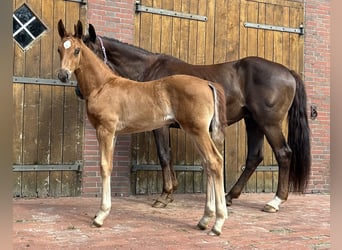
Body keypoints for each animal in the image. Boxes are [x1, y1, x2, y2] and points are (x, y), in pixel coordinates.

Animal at [57, 20, 228, 236]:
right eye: (59, 49)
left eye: (78, 50)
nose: (63, 75)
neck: (103, 85)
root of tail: (207, 83)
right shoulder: (112, 133)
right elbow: (108, 165)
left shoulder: (105, 130)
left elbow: (105, 166)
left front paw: (100, 215)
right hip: (195, 132)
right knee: (207, 164)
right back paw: (205, 219)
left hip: (198, 131)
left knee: (215, 161)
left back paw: (218, 223)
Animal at [82, 23, 310, 213]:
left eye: (85, 53)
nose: (78, 90)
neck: (150, 72)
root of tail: (288, 72)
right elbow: (169, 155)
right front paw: (171, 192)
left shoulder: (159, 127)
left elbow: (163, 156)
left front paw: (164, 196)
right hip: (253, 122)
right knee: (254, 157)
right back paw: (230, 196)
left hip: (268, 122)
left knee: (283, 154)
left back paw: (275, 201)